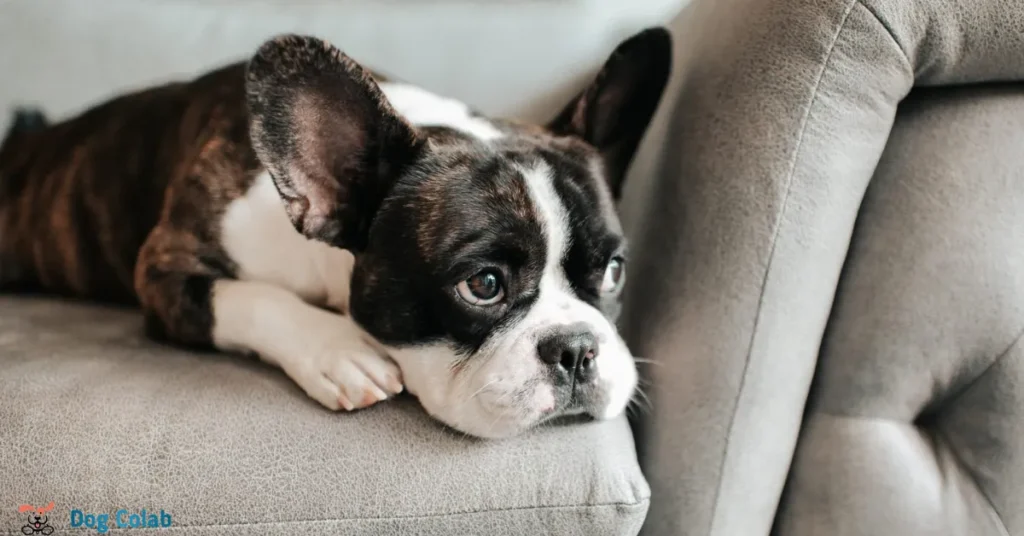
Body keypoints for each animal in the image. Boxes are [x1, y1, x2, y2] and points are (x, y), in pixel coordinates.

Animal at [0, 28, 671, 440]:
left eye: (614, 271)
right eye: (483, 285)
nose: (577, 348)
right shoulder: (165, 267)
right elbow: (251, 297)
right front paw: (337, 349)